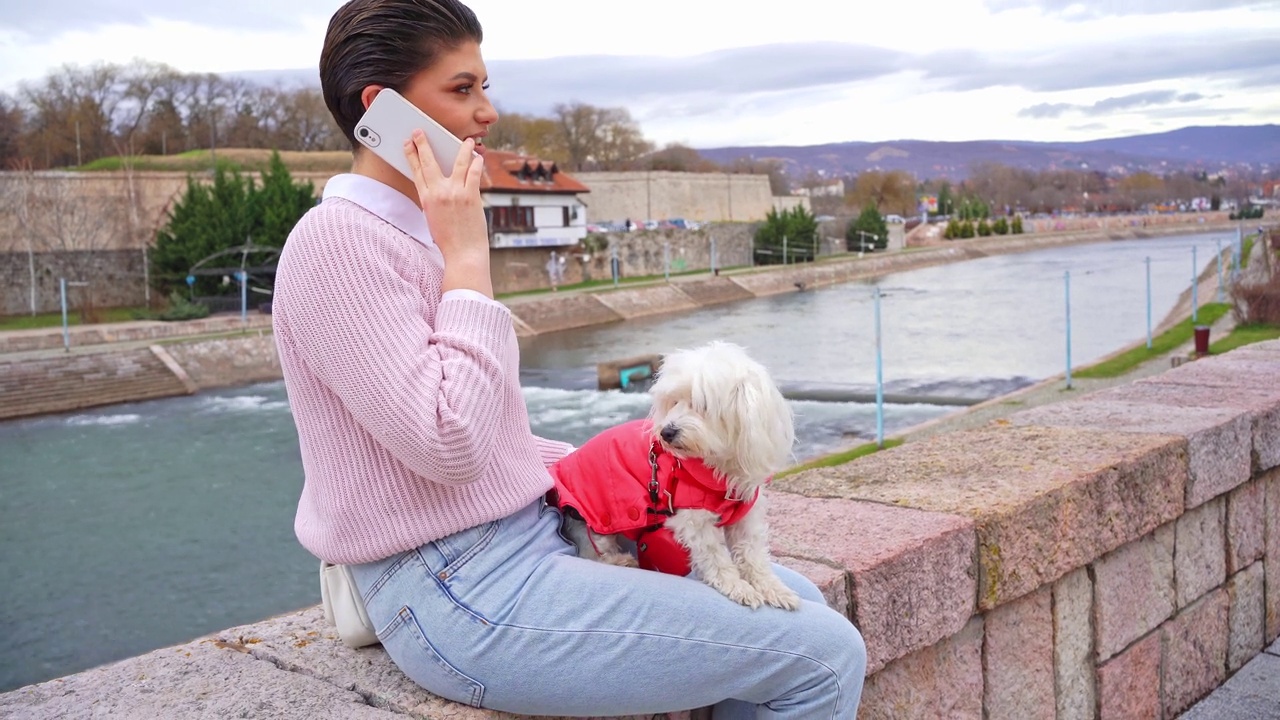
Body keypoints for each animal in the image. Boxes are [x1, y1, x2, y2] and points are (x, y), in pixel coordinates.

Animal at [547, 338, 798, 607]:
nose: (666, 432)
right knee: (592, 552)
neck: (718, 465)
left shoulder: (745, 514)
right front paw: (737, 586)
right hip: (592, 518)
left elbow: (753, 554)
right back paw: (618, 560)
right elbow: (715, 557)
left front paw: (773, 588)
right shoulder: (693, 519)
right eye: (673, 402)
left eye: (702, 405)